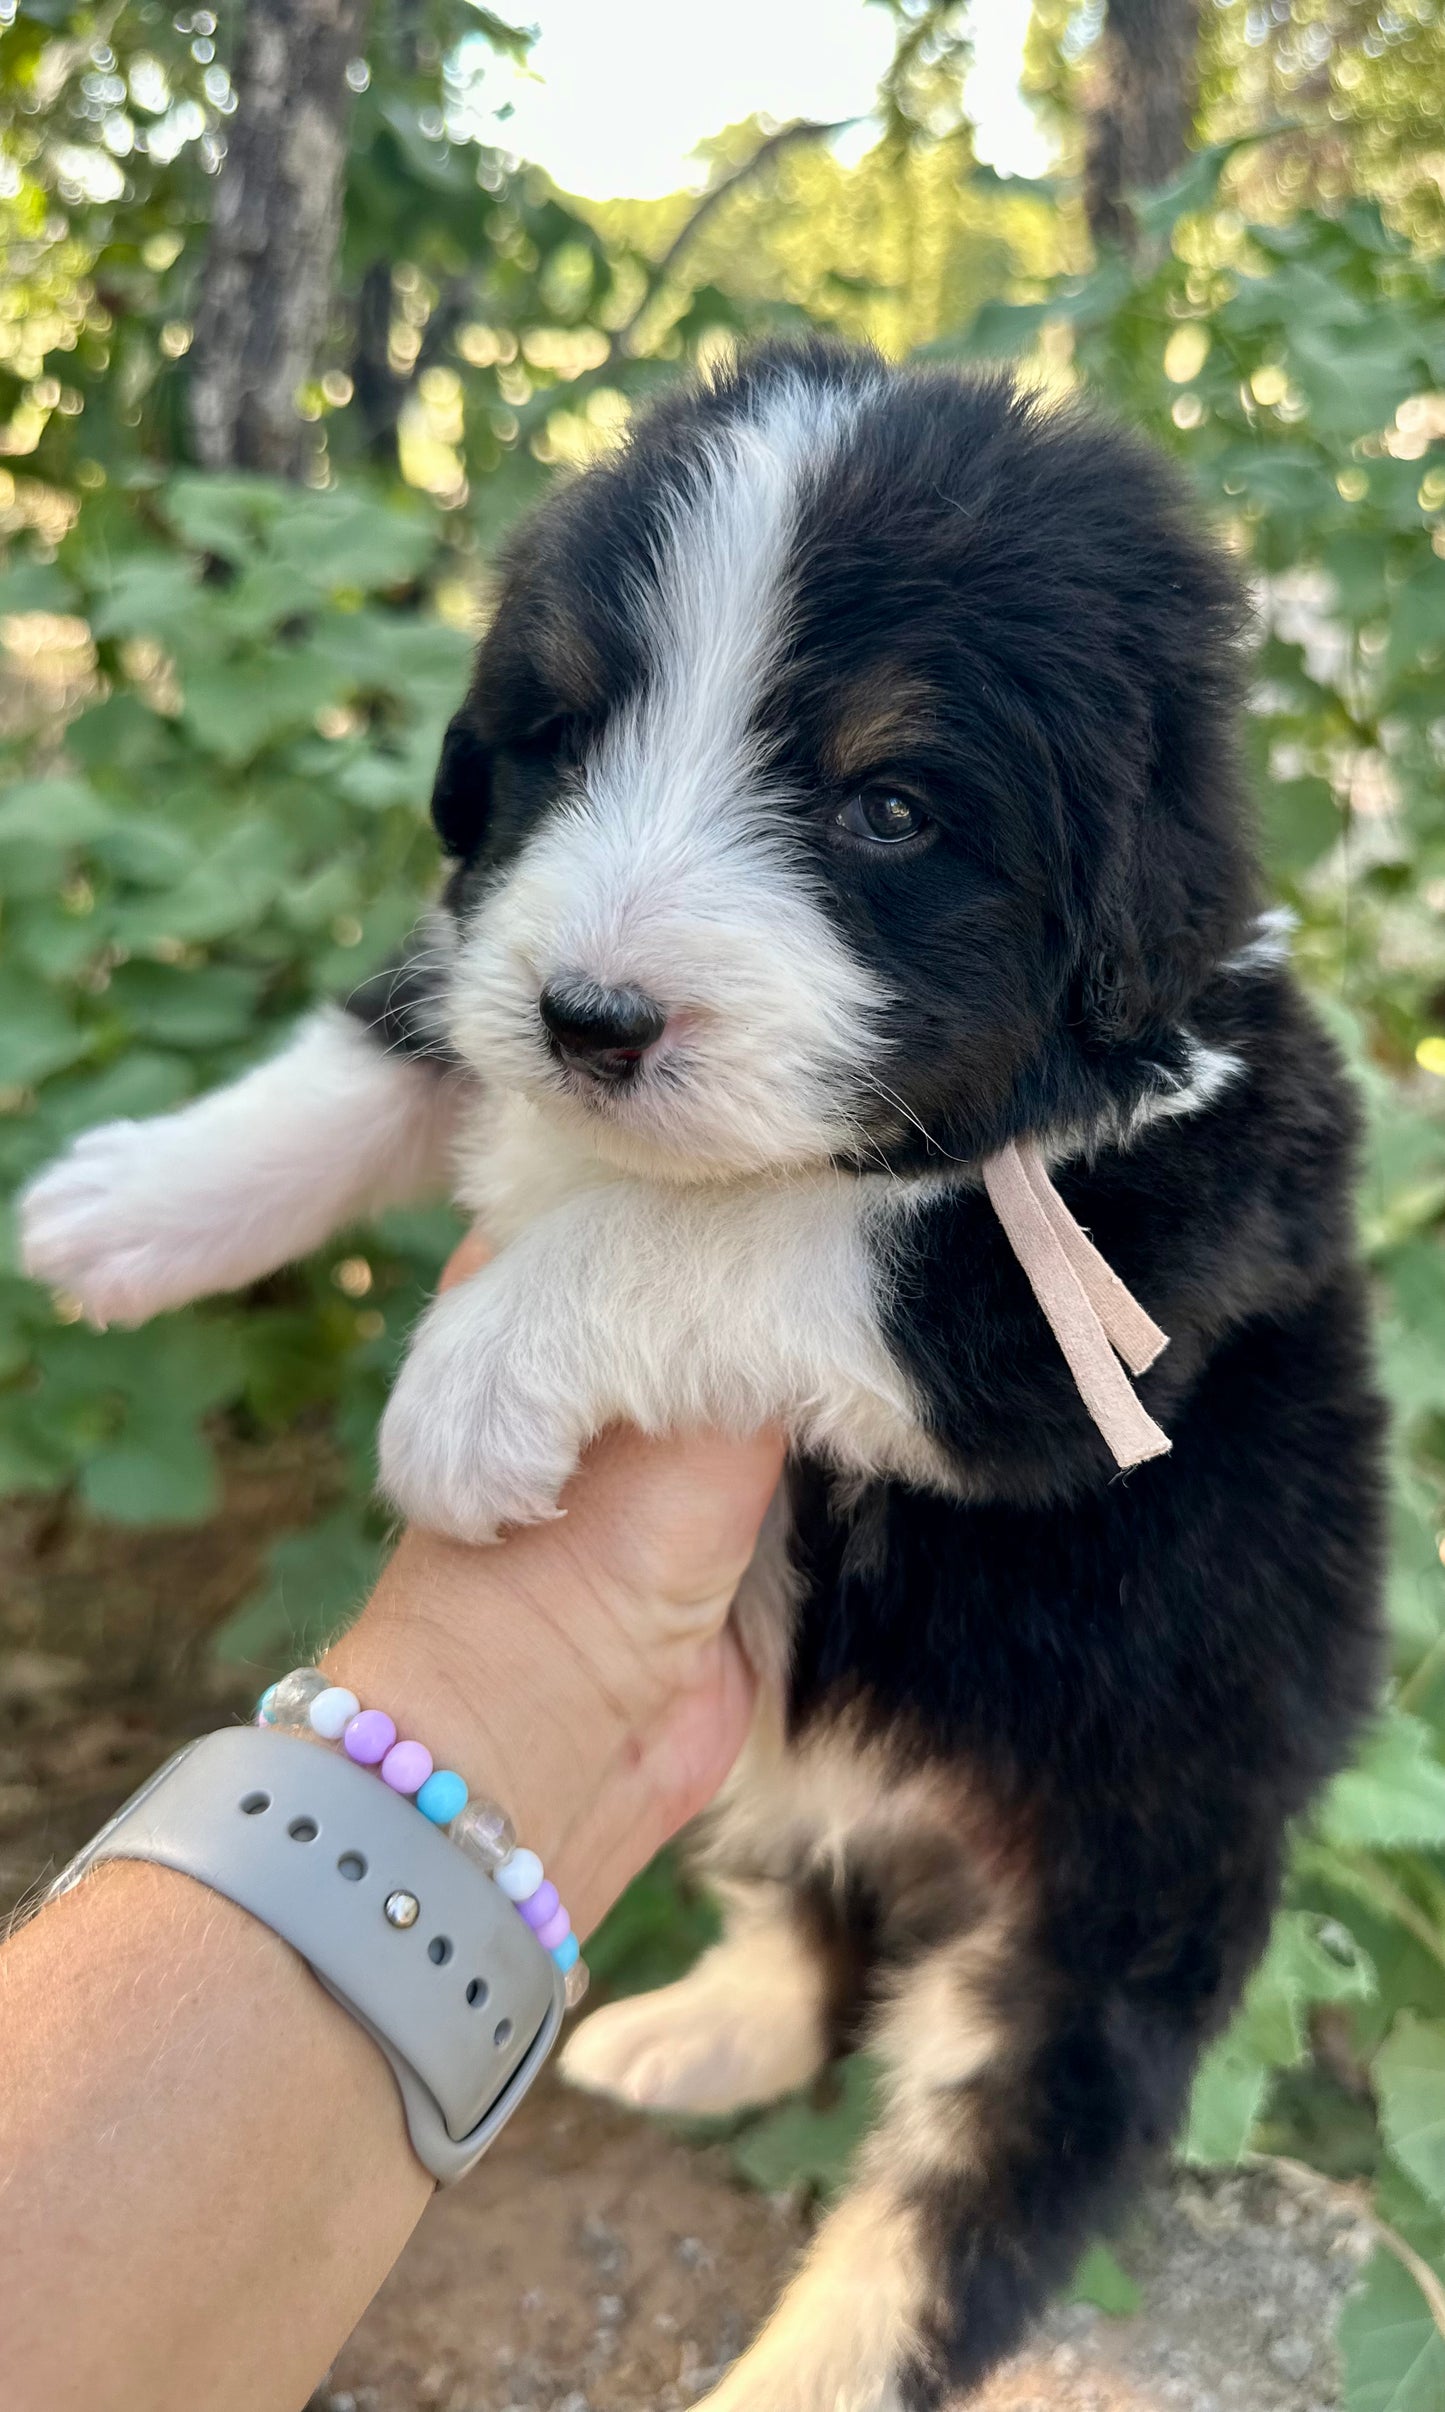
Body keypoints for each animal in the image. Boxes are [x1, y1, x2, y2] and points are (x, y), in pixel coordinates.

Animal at [22, 344, 1389, 2412]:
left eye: (890, 806)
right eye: (566, 737)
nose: (590, 1022)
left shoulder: (1103, 1278)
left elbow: (765, 1233)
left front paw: (474, 1382)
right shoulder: (489, 948)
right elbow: (411, 1020)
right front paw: (133, 1200)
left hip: (1126, 1877)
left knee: (969, 2195)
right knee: (804, 1912)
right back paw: (698, 2029)